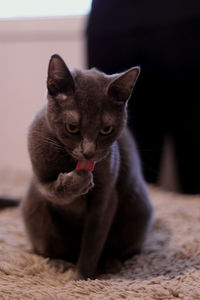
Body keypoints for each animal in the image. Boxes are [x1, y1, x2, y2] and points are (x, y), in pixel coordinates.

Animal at [2, 54, 152, 282]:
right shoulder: (40, 176)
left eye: (106, 129)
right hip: (34, 210)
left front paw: (82, 278)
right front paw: (78, 181)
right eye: (72, 127)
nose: (88, 152)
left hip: (137, 210)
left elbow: (92, 243)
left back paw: (111, 263)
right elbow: (53, 190)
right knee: (49, 249)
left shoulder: (105, 199)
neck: (71, 161)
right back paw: (59, 263)